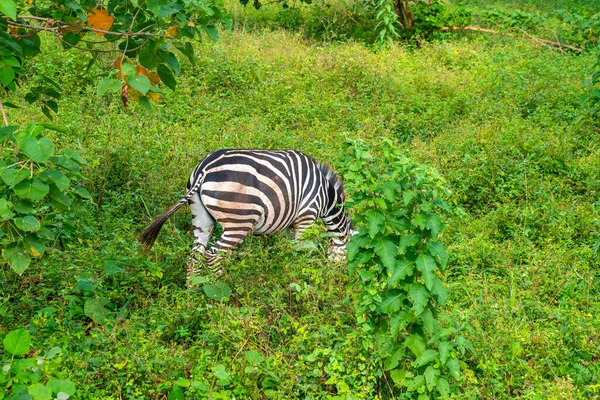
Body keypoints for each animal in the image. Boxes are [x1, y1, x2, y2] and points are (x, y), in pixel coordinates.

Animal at [138, 148, 354, 280]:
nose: (339, 283)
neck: (327, 197)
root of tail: (203, 169)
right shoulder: (306, 216)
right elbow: (300, 251)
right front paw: (299, 276)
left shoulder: (291, 225)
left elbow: (289, 251)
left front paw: (286, 275)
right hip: (238, 221)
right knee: (213, 255)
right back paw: (223, 290)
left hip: (200, 217)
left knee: (195, 256)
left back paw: (193, 296)